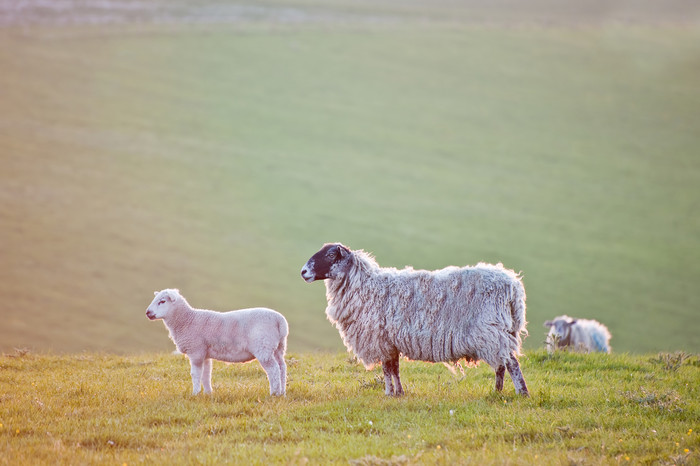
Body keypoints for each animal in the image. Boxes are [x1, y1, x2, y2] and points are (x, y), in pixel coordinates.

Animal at [146, 290, 288, 396]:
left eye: (162, 301)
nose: (147, 313)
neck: (187, 320)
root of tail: (280, 320)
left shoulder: (196, 351)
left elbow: (195, 374)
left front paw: (195, 393)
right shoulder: (204, 353)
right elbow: (206, 375)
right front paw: (208, 393)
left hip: (263, 346)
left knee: (273, 369)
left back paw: (274, 393)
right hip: (278, 347)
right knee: (282, 367)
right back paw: (282, 393)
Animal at [300, 244, 532, 396]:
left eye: (331, 254)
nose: (303, 271)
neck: (365, 286)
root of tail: (513, 286)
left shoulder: (381, 340)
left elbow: (386, 370)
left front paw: (388, 393)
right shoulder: (390, 341)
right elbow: (394, 368)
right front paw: (399, 393)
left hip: (490, 330)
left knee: (511, 363)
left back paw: (521, 393)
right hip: (500, 331)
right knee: (502, 364)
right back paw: (497, 392)